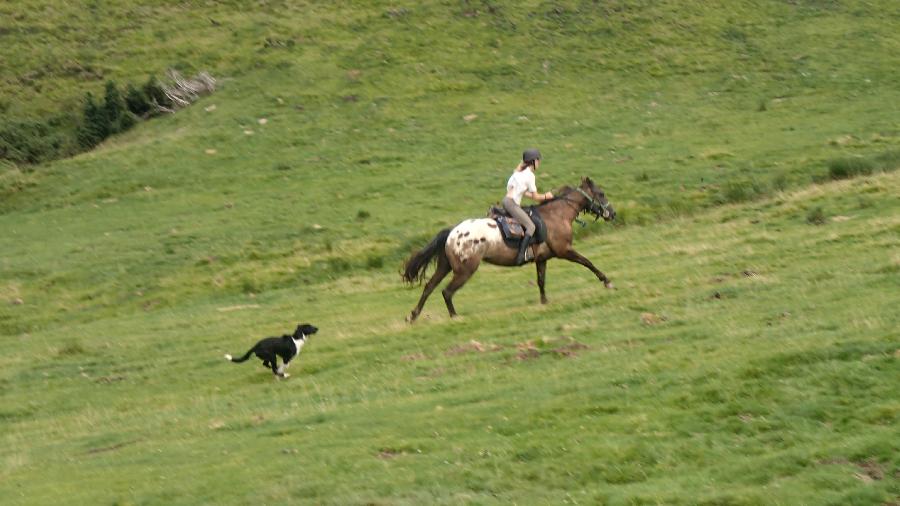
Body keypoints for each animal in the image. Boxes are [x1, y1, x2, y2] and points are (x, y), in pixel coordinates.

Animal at [402, 176, 620, 322]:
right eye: (601, 193)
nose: (613, 214)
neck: (557, 215)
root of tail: (452, 232)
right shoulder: (564, 251)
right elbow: (588, 262)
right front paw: (607, 282)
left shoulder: (542, 259)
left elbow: (541, 281)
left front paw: (544, 302)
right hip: (465, 270)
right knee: (446, 292)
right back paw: (455, 317)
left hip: (445, 266)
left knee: (429, 287)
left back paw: (413, 315)